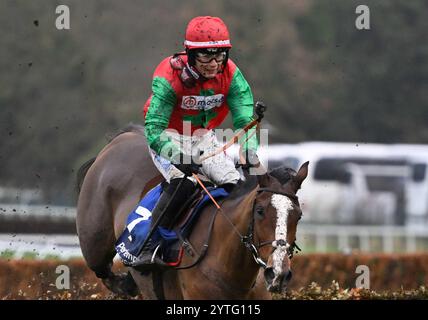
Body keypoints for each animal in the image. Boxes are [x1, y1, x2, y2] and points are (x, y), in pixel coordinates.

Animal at [75, 125, 306, 300]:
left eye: (298, 215)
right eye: (259, 211)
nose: (278, 273)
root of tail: (121, 138)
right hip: (94, 241)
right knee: (103, 270)